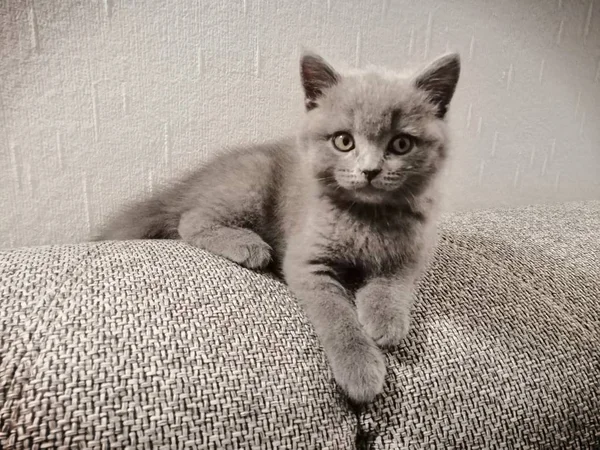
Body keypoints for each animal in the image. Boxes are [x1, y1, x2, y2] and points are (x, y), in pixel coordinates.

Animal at [98, 52, 460, 404]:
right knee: (190, 220)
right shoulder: (306, 260)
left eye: (401, 144)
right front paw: (359, 368)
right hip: (252, 179)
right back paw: (249, 246)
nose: (369, 171)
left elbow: (394, 285)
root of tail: (194, 180)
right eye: (344, 141)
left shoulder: (412, 254)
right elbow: (336, 314)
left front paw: (386, 320)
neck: (366, 215)